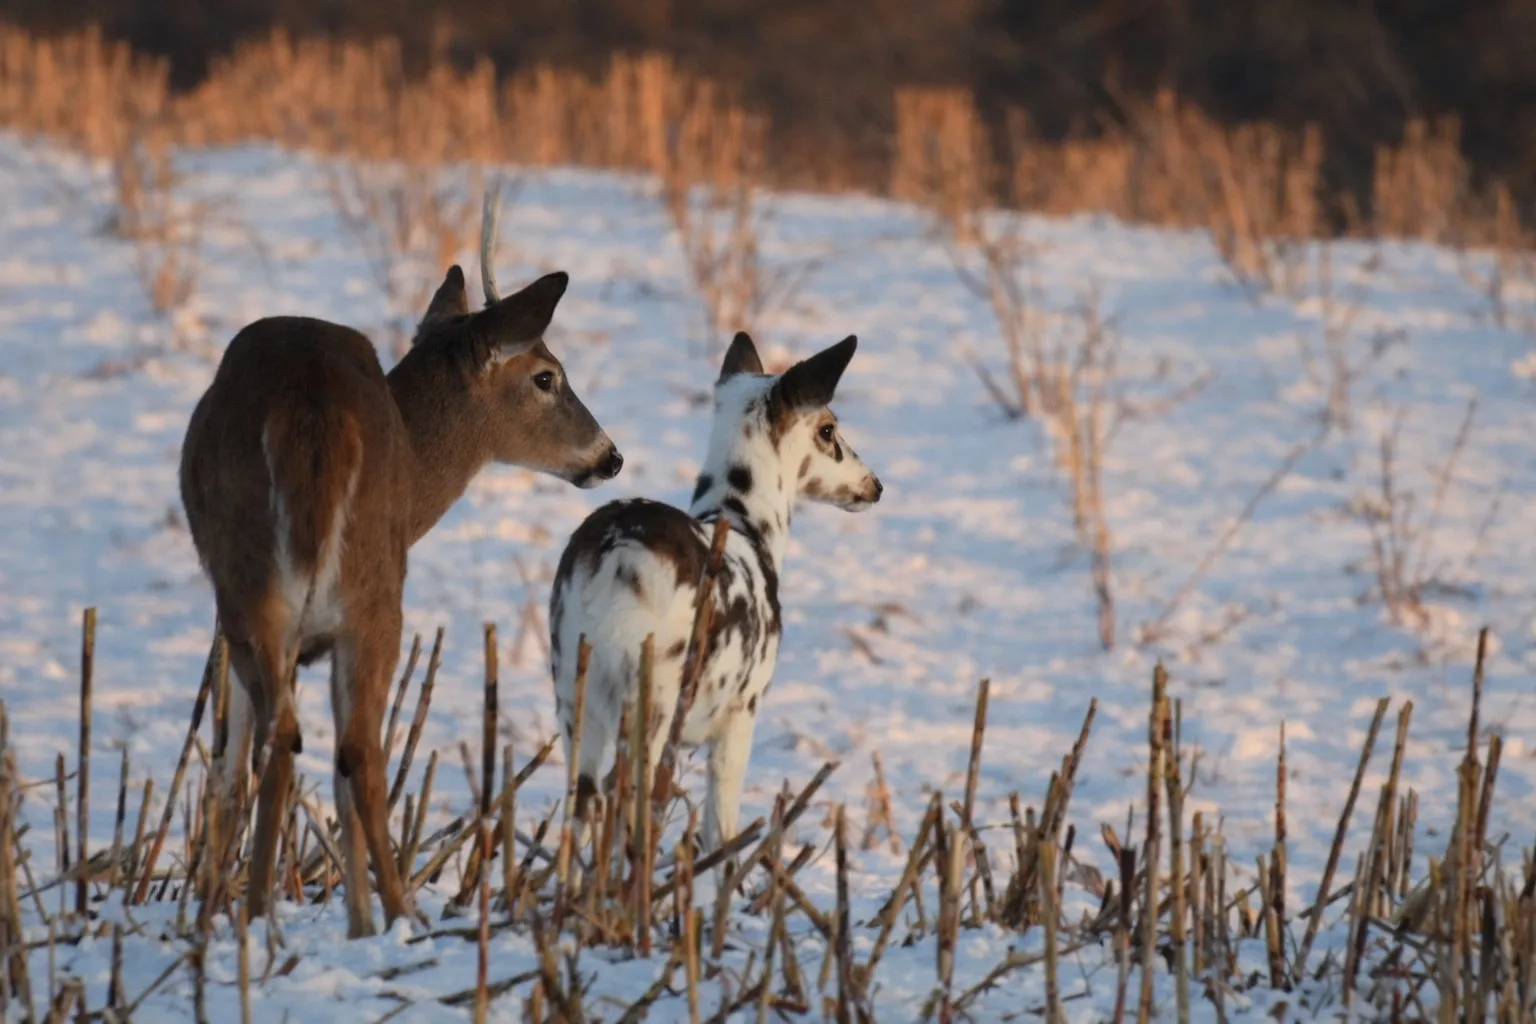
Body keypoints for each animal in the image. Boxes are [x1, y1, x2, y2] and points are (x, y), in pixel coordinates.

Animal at [178, 188, 624, 938]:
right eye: (546, 377)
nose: (610, 456)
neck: (415, 470)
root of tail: (312, 412)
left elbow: (235, 762)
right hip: (360, 591)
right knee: (351, 747)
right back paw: (388, 915)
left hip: (260, 587)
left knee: (303, 739)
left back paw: (282, 914)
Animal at [548, 331, 882, 875]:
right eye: (828, 429)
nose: (874, 485)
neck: (745, 524)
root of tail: (619, 551)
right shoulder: (741, 713)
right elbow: (720, 836)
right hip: (655, 698)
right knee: (632, 812)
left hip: (573, 689)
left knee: (580, 813)